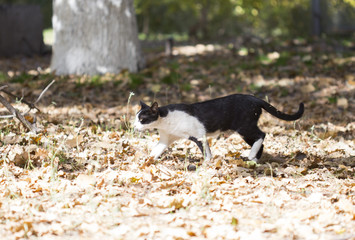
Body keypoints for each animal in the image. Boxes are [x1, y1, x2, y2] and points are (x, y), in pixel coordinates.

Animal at [134, 94, 304, 163]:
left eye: (142, 120)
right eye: (136, 119)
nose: (134, 127)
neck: (165, 120)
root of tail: (254, 98)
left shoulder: (198, 135)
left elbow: (206, 151)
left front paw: (207, 163)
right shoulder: (165, 139)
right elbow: (155, 151)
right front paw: (146, 161)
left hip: (244, 127)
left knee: (262, 134)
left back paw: (251, 156)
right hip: (245, 131)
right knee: (260, 140)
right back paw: (254, 160)